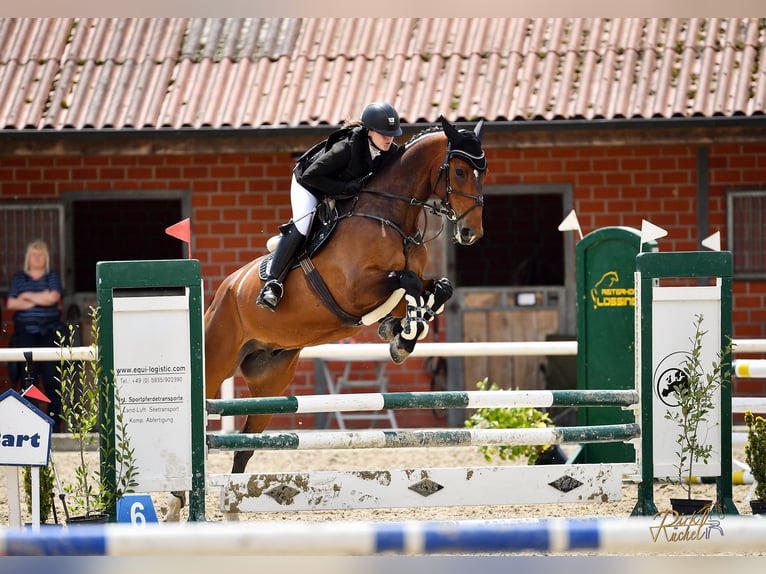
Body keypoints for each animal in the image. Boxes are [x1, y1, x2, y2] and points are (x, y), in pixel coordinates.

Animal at [164, 116, 486, 520]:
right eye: (459, 171)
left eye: (483, 172)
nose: (472, 233)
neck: (392, 217)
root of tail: (224, 291)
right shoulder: (357, 291)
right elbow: (408, 283)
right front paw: (401, 331)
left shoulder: (399, 286)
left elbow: (438, 288)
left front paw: (403, 332)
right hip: (216, 362)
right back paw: (175, 504)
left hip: (271, 382)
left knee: (245, 447)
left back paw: (231, 510)